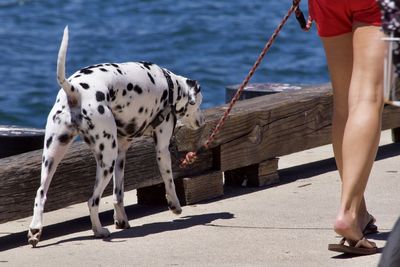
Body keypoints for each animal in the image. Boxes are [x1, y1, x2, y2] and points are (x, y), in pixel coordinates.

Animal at [27, 26, 205, 248]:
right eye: (199, 103)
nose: (202, 121)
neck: (170, 86)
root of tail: (75, 89)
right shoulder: (162, 149)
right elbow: (169, 181)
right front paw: (175, 206)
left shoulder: (122, 154)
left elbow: (118, 195)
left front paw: (121, 220)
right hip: (106, 161)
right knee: (92, 201)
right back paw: (99, 231)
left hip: (54, 156)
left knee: (40, 194)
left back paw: (35, 231)